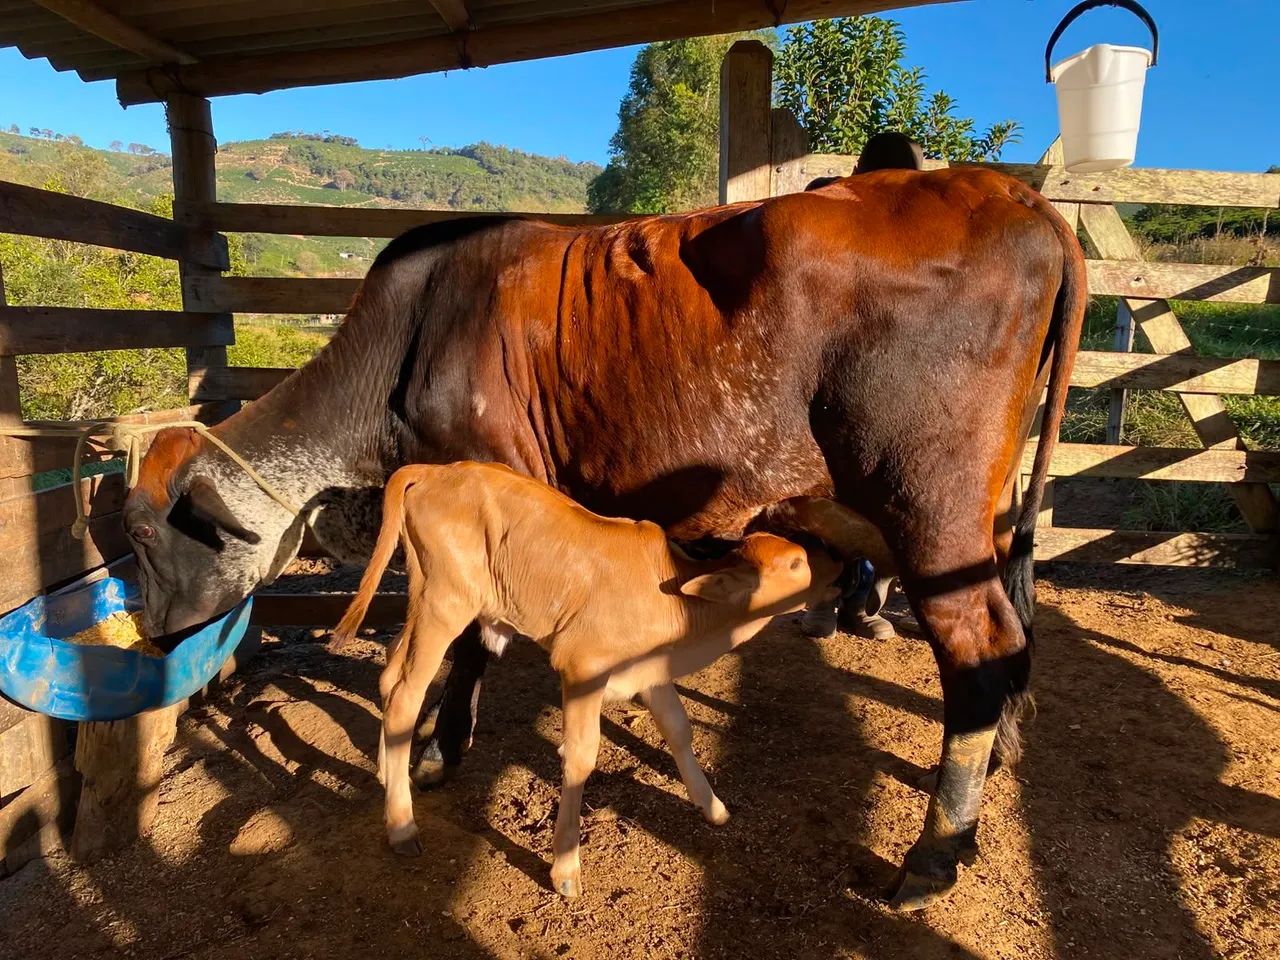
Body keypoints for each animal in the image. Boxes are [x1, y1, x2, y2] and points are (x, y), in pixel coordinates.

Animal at [333, 460, 843, 896]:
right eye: (796, 563)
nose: (840, 565)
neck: (683, 610)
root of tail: (436, 470)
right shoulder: (582, 670)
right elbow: (580, 758)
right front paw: (565, 867)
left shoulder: (651, 673)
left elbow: (680, 730)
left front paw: (712, 806)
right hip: (446, 603)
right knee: (406, 694)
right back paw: (401, 825)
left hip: (423, 598)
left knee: (390, 671)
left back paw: (386, 774)